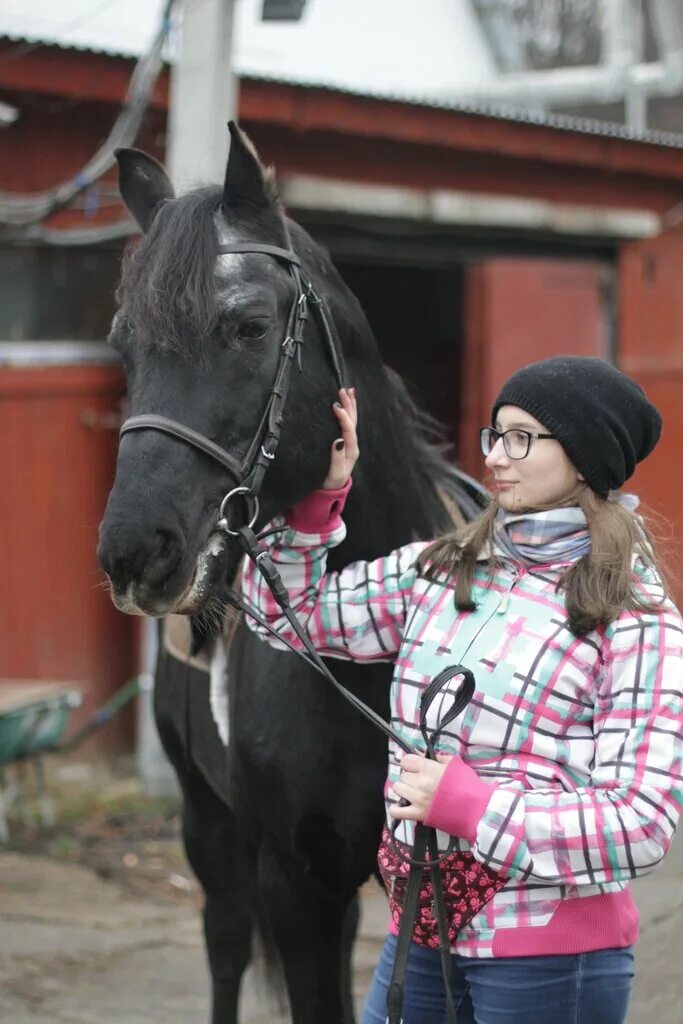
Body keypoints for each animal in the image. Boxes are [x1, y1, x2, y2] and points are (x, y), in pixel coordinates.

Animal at [97, 121, 485, 1024]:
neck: (372, 663)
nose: (135, 551)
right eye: (124, 344)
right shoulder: (297, 886)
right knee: (225, 944)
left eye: (247, 326)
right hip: (207, 823)